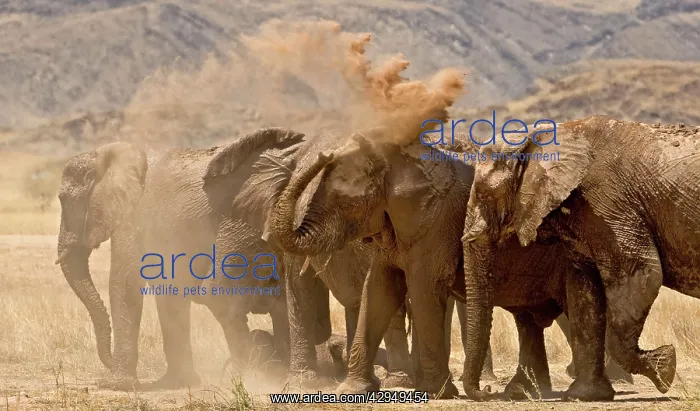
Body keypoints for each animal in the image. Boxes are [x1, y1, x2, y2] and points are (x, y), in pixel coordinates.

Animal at [461, 115, 698, 401]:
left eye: (484, 194)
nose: (486, 390)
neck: (539, 137)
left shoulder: (608, 202)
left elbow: (642, 274)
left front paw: (665, 366)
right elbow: (583, 291)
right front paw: (585, 395)